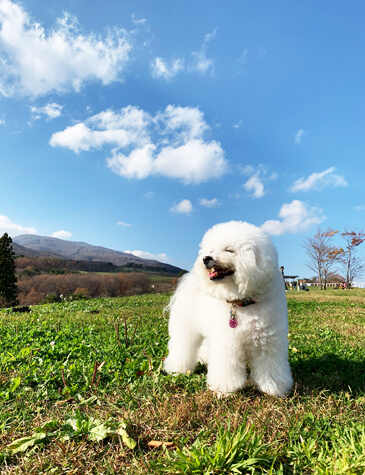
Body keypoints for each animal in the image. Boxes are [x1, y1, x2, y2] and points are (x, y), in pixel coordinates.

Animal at [164, 221, 292, 396]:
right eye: (210, 250)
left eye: (229, 250)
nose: (206, 258)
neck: (242, 303)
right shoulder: (227, 343)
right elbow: (226, 368)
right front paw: (224, 389)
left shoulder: (268, 344)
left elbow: (270, 368)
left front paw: (273, 387)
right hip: (185, 331)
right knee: (182, 348)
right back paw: (176, 369)